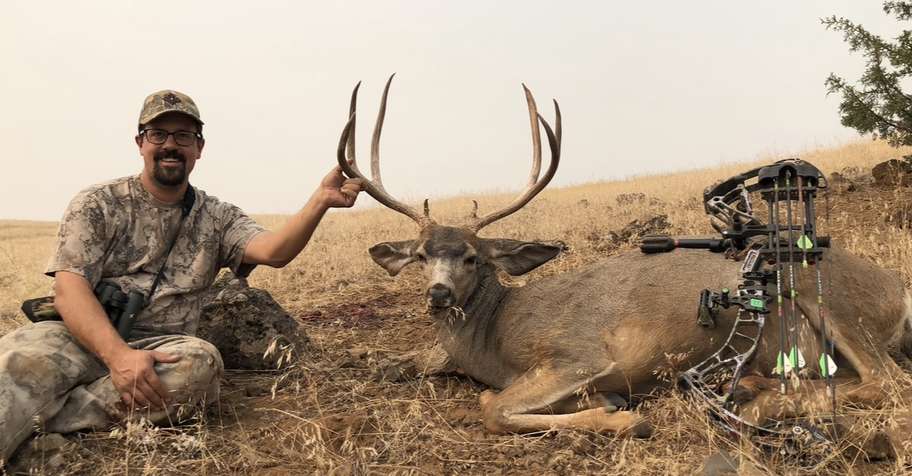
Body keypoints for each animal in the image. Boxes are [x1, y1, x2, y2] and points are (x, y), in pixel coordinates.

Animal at [336, 76, 912, 439]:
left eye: (474, 257)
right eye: (420, 255)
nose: (438, 293)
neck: (496, 335)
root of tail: (898, 290)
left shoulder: (578, 354)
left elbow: (492, 408)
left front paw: (624, 418)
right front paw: (608, 406)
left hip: (829, 297)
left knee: (886, 382)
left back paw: (757, 398)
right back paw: (753, 385)